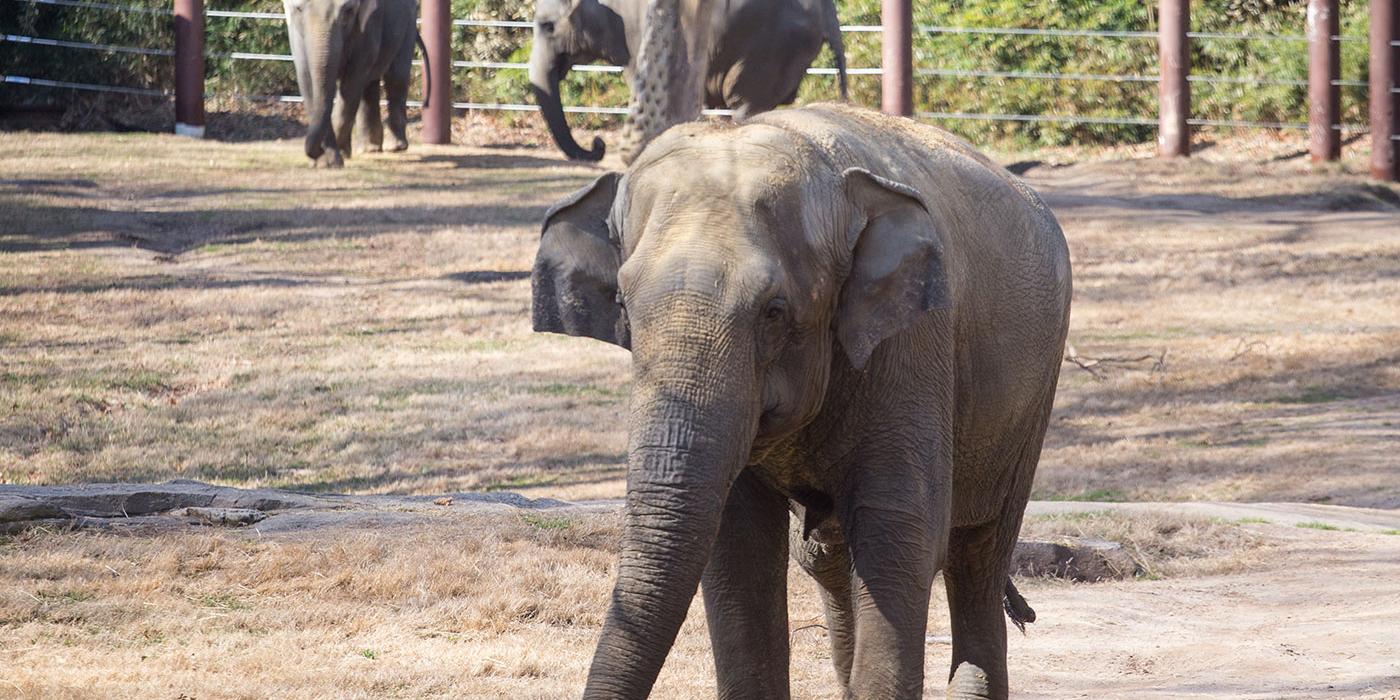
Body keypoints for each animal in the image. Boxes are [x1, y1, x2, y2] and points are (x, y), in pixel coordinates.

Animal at [287, 0, 428, 168]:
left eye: (348, 10)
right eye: (298, 9)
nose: (316, 152)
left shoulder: (369, 24)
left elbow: (351, 83)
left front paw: (337, 156)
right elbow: (306, 80)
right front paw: (325, 162)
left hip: (408, 24)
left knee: (396, 77)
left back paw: (395, 147)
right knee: (370, 85)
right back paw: (370, 149)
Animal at [532, 103, 1069, 700]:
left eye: (774, 311)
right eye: (623, 305)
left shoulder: (913, 345)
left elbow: (899, 535)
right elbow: (739, 547)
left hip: (1031, 401)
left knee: (978, 557)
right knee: (825, 554)